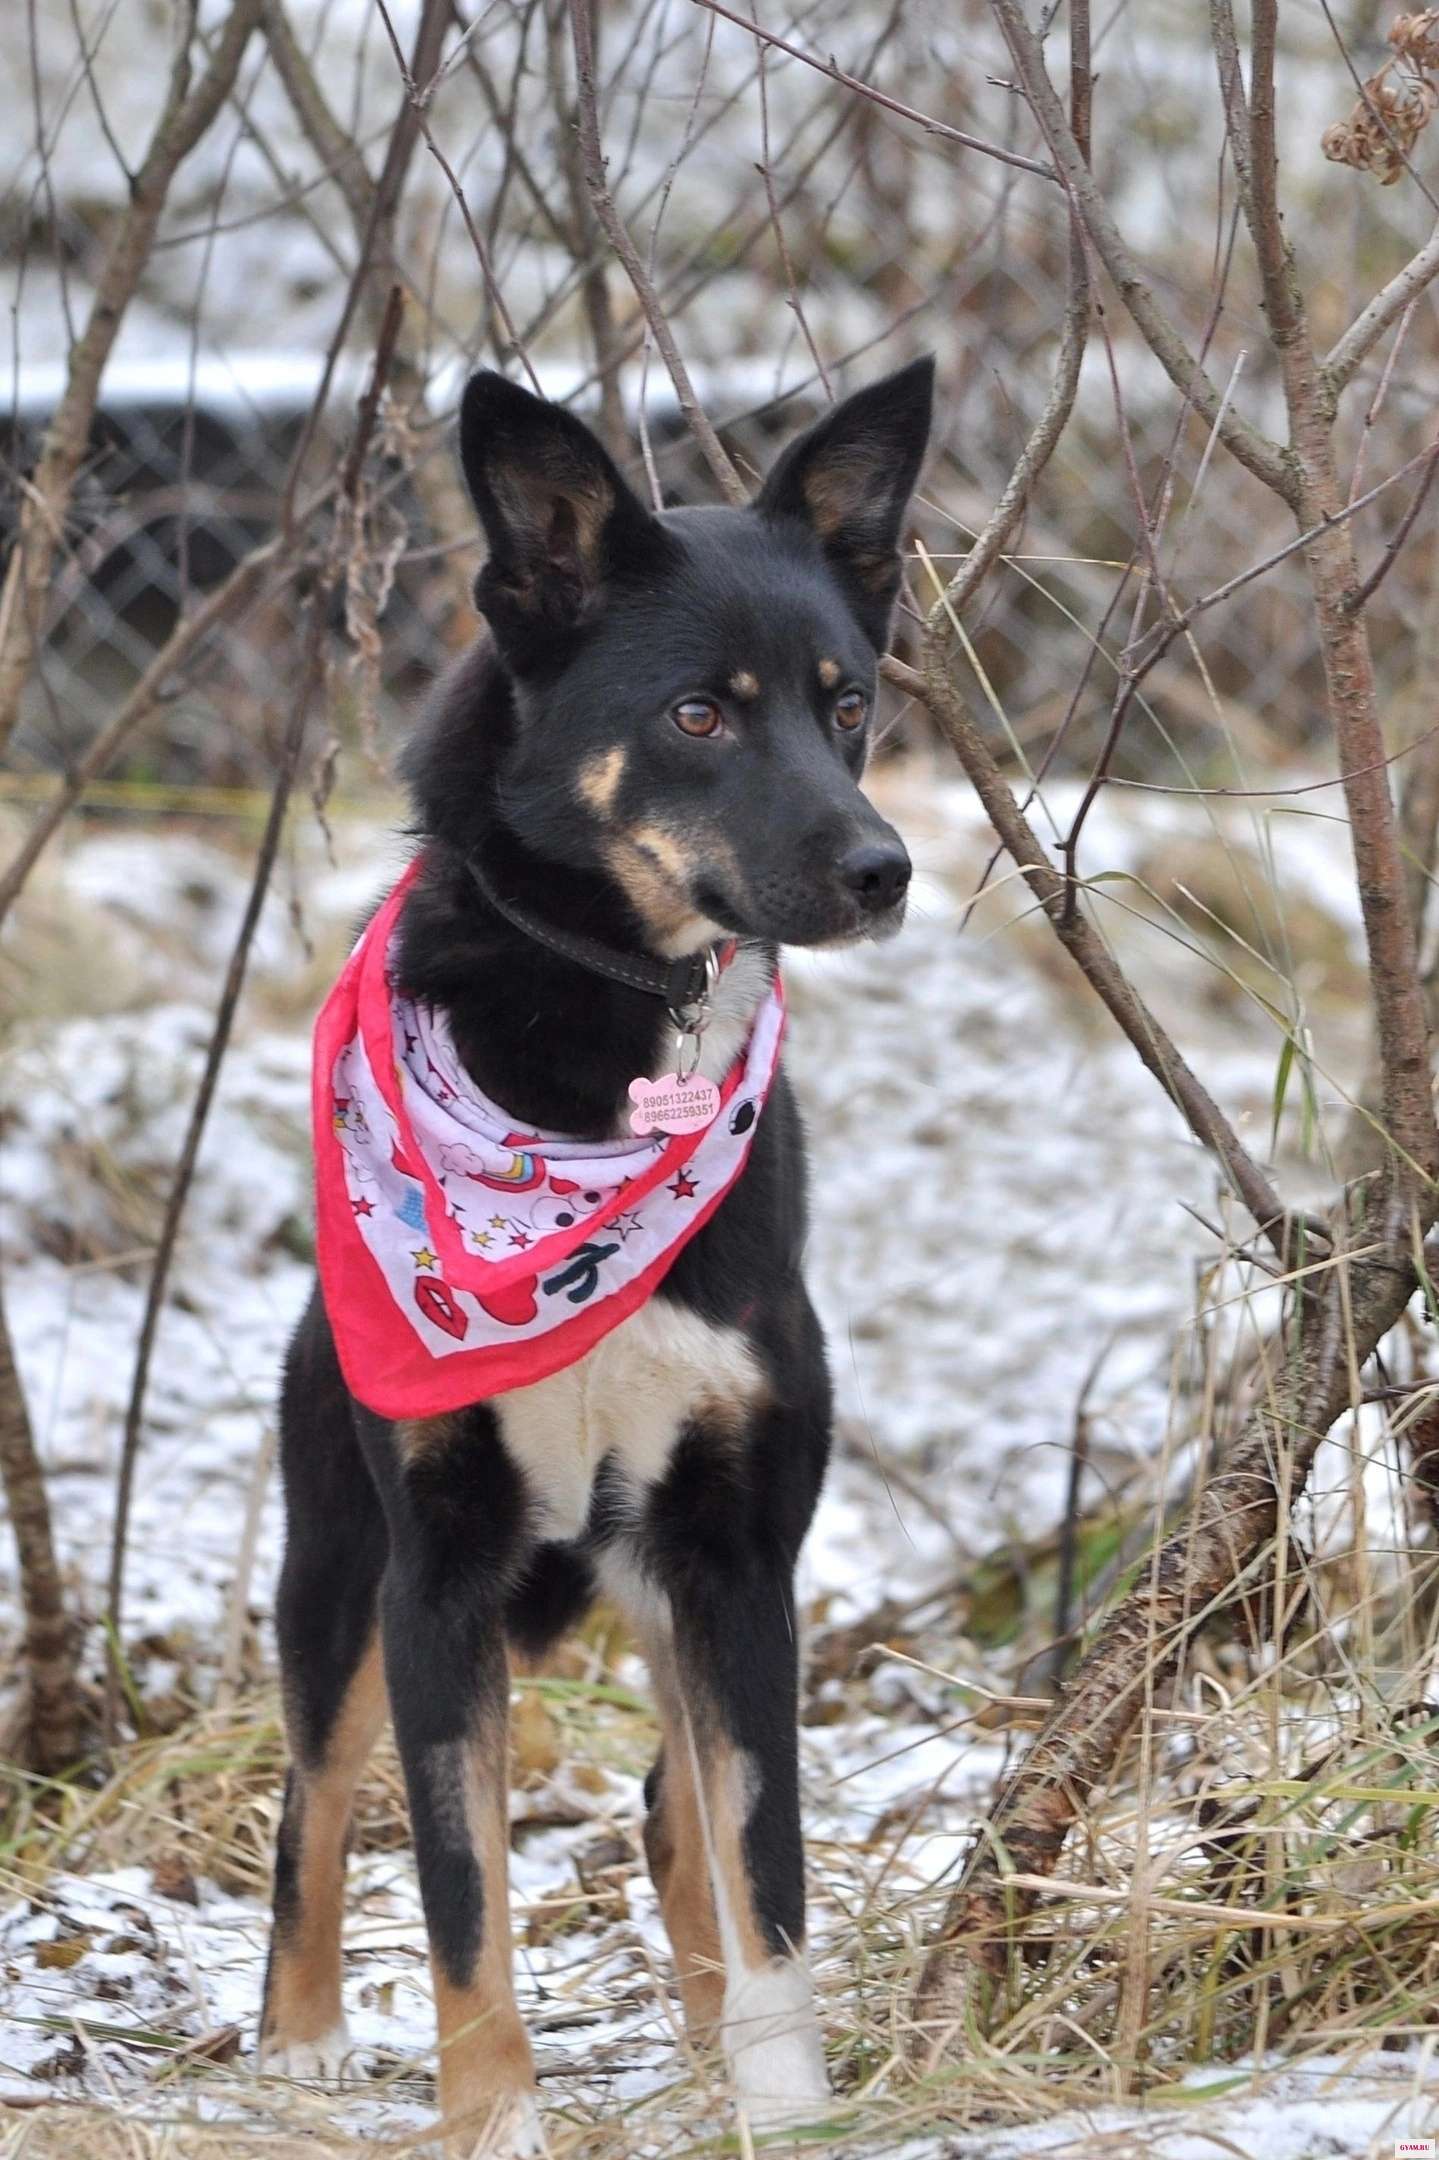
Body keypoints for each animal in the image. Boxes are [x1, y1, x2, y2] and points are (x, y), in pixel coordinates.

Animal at [259, 357, 934, 2150]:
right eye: (699, 714)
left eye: (847, 705)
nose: (882, 870)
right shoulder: (436, 1569)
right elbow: (458, 1895)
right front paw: (490, 2116)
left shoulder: (732, 1553)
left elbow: (761, 1865)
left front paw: (780, 2101)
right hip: (333, 1567)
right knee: (311, 1799)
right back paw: (296, 2046)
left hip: (655, 1571)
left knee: (672, 1811)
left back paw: (698, 2035)